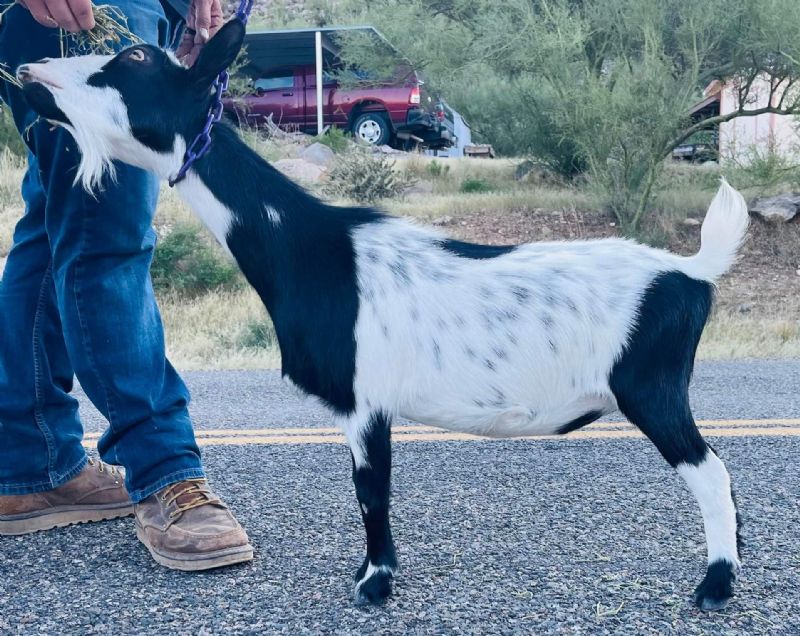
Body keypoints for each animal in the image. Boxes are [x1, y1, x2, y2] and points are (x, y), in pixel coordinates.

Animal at [20, 19, 752, 612]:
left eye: (135, 58)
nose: (31, 72)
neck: (307, 248)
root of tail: (690, 273)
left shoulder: (364, 399)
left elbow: (371, 491)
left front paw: (373, 585)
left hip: (650, 387)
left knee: (711, 473)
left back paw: (715, 586)